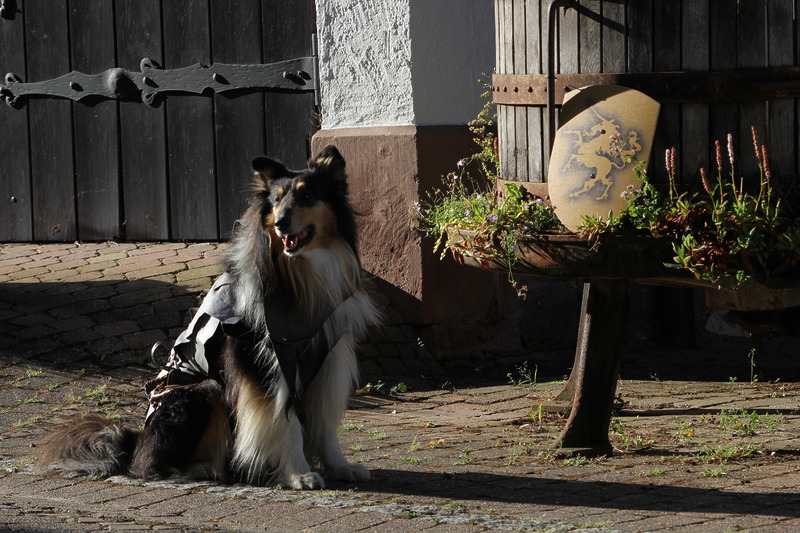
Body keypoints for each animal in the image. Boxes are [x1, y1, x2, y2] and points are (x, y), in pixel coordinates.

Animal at [39, 148, 382, 488]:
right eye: (275, 201)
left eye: (307, 196)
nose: (282, 223)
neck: (298, 277)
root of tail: (136, 441)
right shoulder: (266, 362)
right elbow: (286, 423)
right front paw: (298, 473)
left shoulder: (326, 357)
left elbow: (325, 424)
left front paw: (340, 466)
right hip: (204, 391)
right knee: (152, 465)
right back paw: (203, 468)